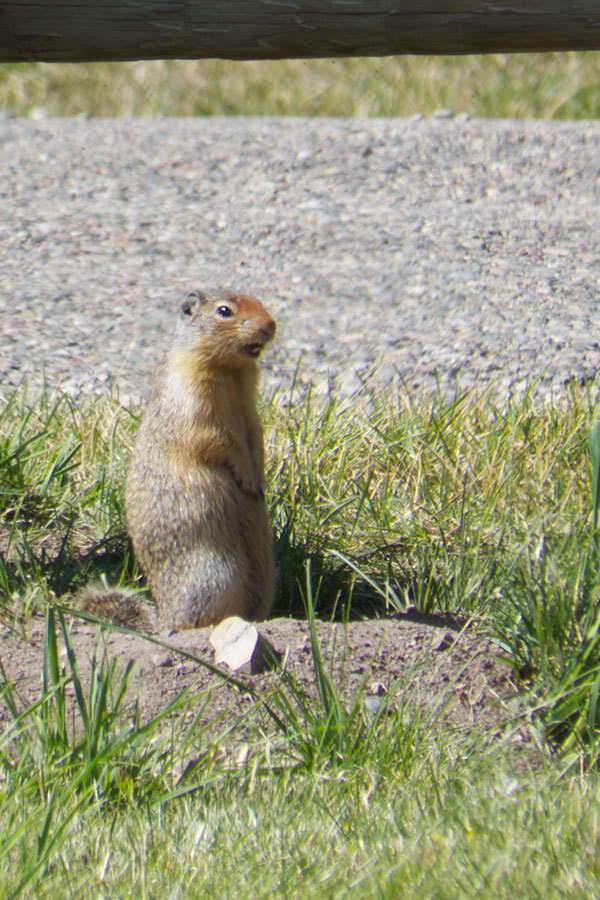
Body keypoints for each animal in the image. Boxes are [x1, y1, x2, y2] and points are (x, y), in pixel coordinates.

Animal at [79, 288, 276, 632]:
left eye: (261, 303)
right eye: (224, 311)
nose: (271, 325)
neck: (232, 372)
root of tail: (165, 617)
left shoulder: (250, 409)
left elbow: (256, 435)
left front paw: (259, 479)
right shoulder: (191, 398)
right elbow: (217, 439)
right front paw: (247, 476)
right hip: (215, 575)